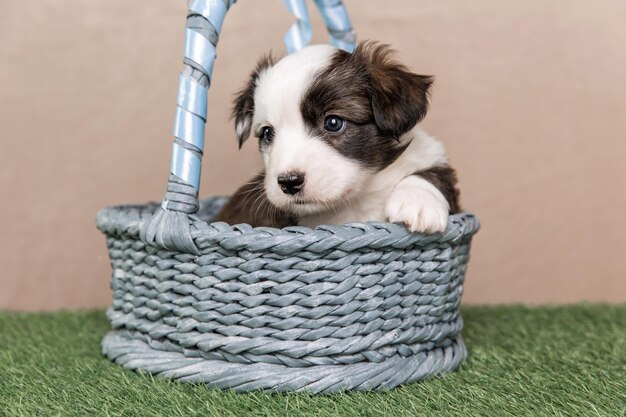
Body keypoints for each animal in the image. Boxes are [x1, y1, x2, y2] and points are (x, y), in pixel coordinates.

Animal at [216, 40, 458, 232]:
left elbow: (433, 172)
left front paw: (418, 202)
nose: (289, 182)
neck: (355, 200)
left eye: (333, 123)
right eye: (268, 132)